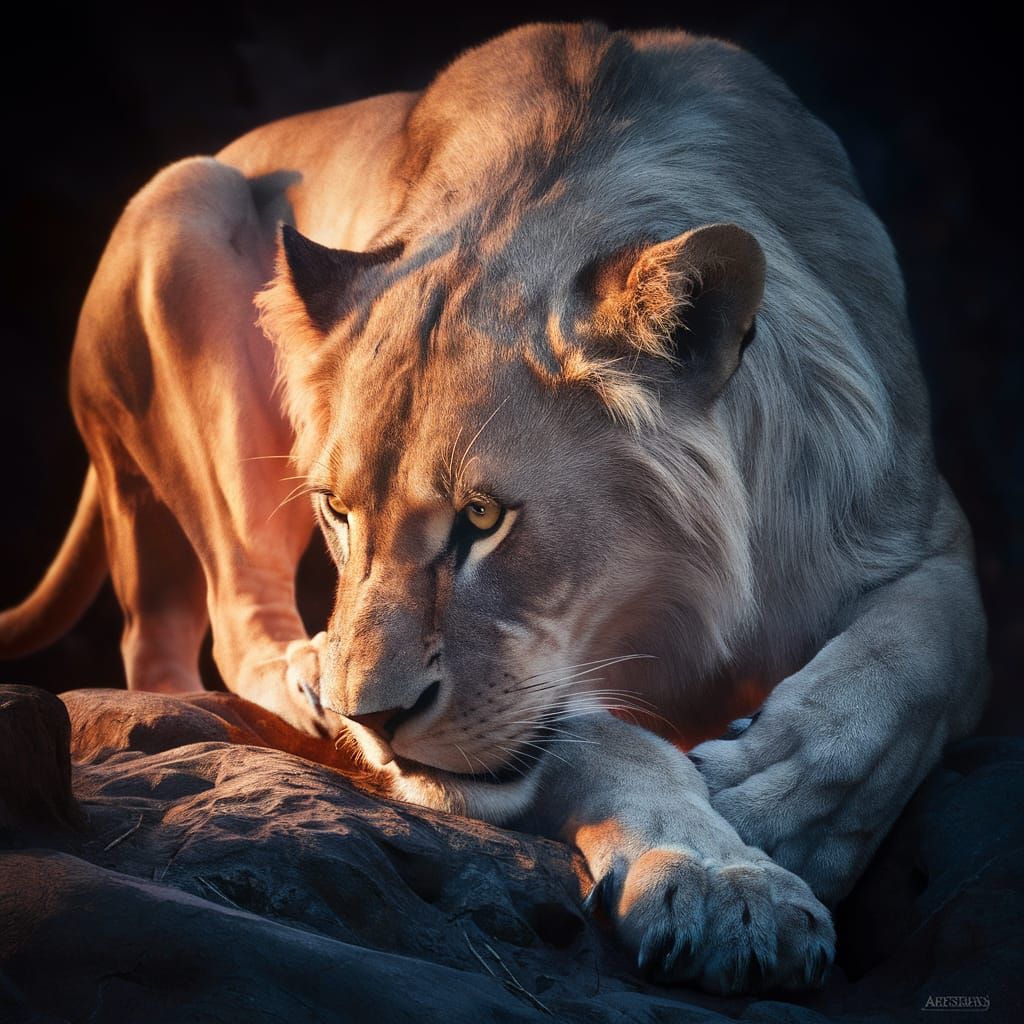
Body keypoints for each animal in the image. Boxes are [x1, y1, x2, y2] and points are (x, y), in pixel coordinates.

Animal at [0, 22, 987, 994]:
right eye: (339, 513)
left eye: (482, 519)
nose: (374, 722)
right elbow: (608, 747)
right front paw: (722, 879)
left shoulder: (921, 529)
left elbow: (909, 664)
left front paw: (777, 798)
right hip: (185, 201)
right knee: (211, 623)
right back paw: (304, 674)